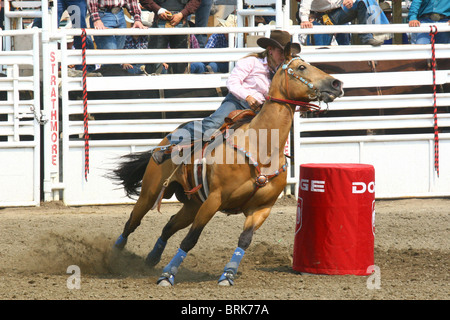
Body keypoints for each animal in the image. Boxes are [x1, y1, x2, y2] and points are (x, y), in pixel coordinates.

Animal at [110, 42, 342, 284]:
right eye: (301, 67)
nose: (337, 84)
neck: (261, 147)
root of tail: (166, 139)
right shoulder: (214, 199)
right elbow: (190, 239)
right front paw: (168, 275)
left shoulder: (261, 209)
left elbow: (244, 240)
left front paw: (228, 273)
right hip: (151, 192)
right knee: (132, 222)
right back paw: (114, 257)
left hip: (192, 204)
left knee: (169, 226)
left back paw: (152, 258)